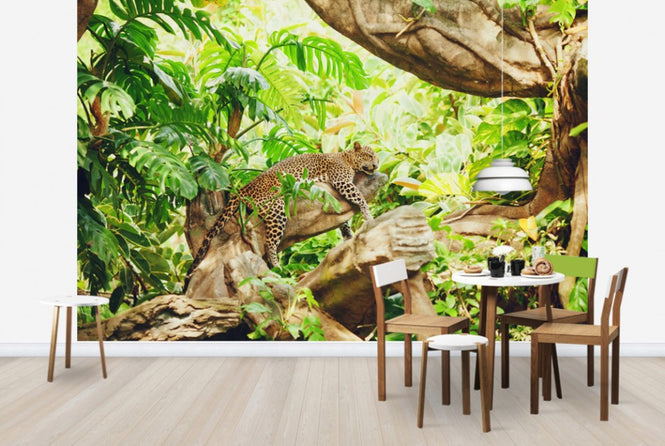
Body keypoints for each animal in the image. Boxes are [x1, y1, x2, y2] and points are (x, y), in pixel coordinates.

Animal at [183, 142, 380, 291]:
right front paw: (368, 216)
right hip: (276, 209)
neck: (346, 157)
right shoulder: (341, 181)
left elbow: (343, 221)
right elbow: (360, 198)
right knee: (269, 243)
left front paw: (348, 235)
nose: (377, 165)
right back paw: (278, 268)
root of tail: (243, 188)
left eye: (376, 158)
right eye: (370, 156)